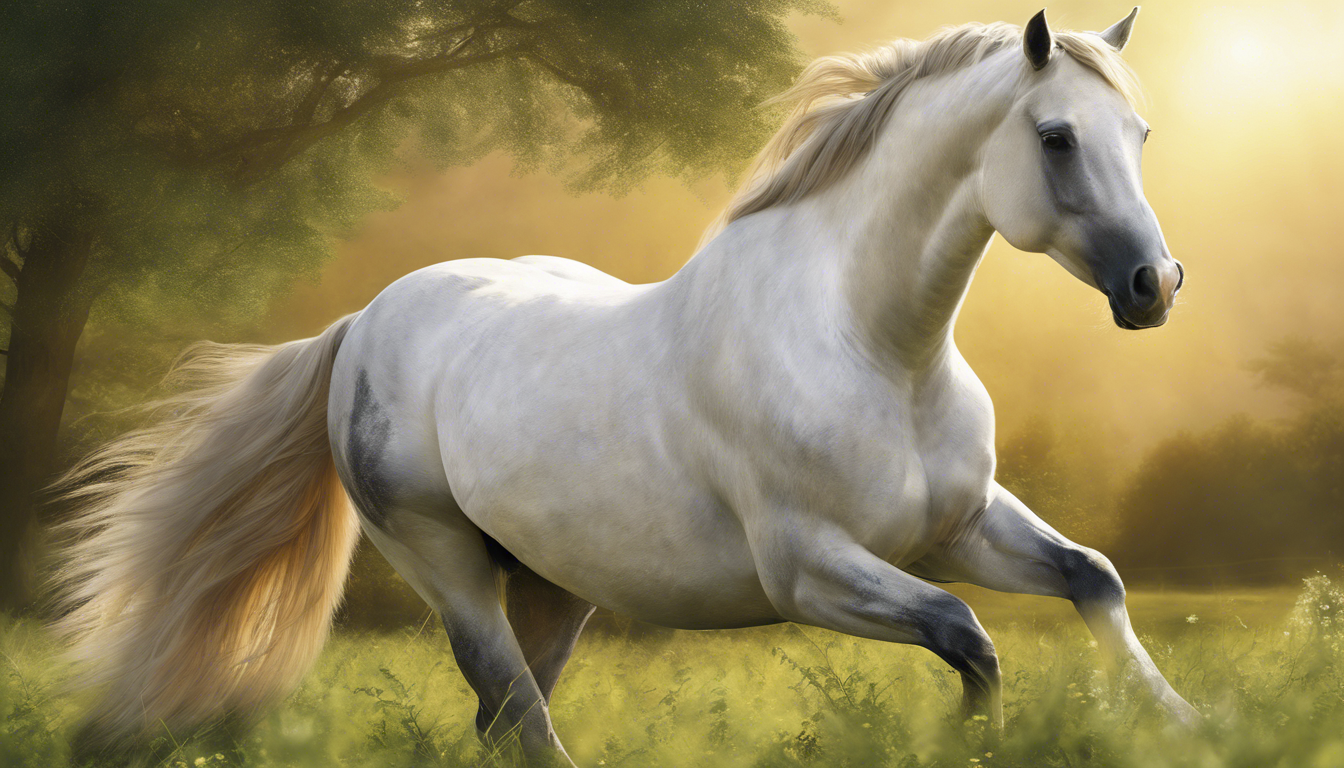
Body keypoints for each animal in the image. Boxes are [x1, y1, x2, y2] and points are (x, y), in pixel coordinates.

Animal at [54, 8, 1194, 765]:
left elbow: (1094, 577)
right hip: (446, 569)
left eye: (1139, 135)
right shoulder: (811, 569)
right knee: (519, 715)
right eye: (1055, 137)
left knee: (499, 723)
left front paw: (1180, 721)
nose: (1157, 286)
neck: (874, 350)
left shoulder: (960, 527)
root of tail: (362, 324)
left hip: (556, 588)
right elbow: (969, 638)